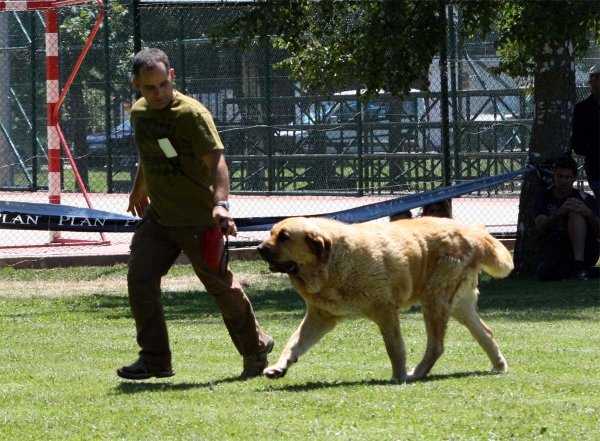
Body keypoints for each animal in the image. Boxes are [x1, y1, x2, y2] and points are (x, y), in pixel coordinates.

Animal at [255, 215, 512, 380]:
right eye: (271, 233)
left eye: (284, 237)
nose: (259, 248)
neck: (333, 261)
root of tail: (470, 232)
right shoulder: (320, 317)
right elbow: (294, 342)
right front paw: (279, 367)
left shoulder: (385, 311)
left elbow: (394, 347)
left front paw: (398, 376)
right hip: (456, 304)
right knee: (485, 332)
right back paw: (498, 365)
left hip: (435, 301)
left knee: (437, 345)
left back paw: (416, 373)